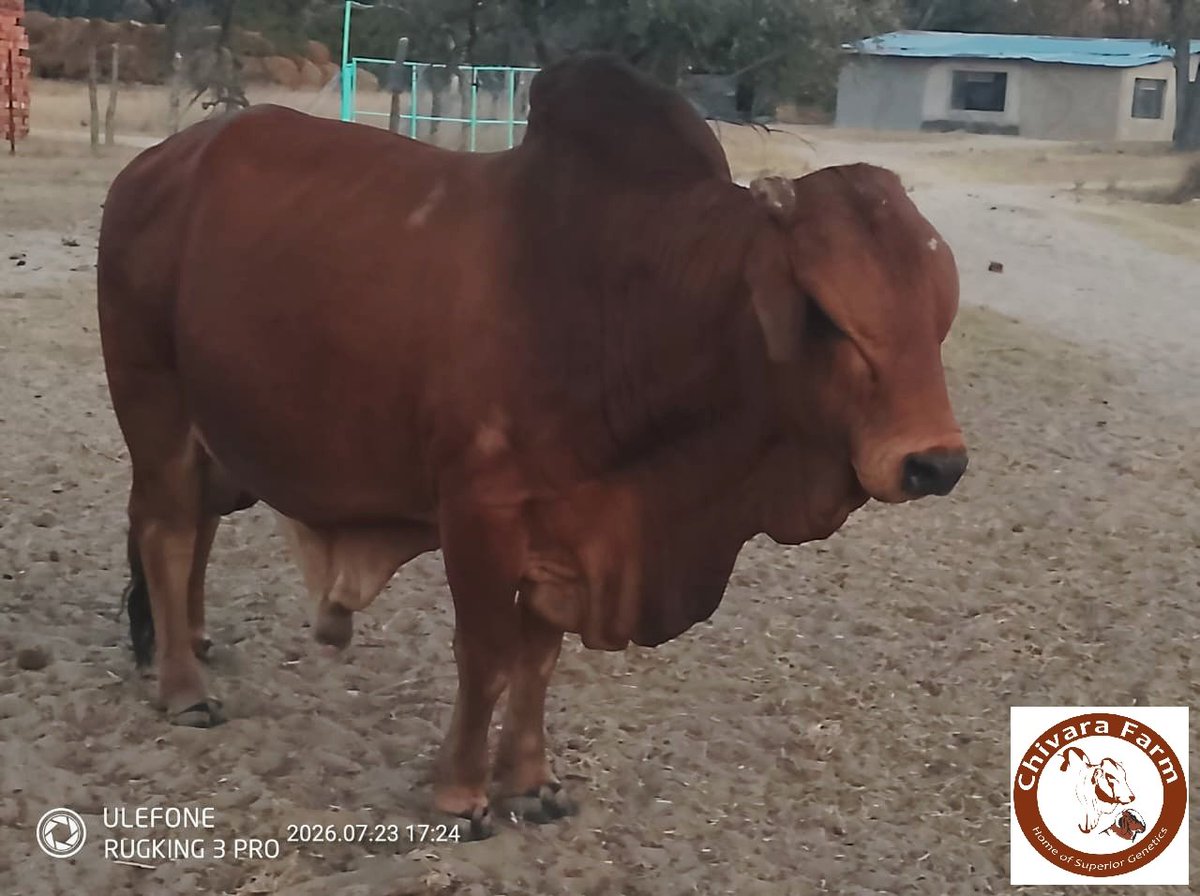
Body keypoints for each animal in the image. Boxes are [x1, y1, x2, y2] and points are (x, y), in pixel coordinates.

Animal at [97, 53, 968, 838]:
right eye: (829, 314)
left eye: (937, 311)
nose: (936, 462)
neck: (631, 302)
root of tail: (156, 166)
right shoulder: (480, 513)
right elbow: (486, 654)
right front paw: (462, 793)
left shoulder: (571, 529)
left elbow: (537, 659)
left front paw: (531, 782)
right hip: (154, 407)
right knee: (166, 533)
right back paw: (184, 687)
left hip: (214, 434)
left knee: (198, 527)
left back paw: (190, 644)